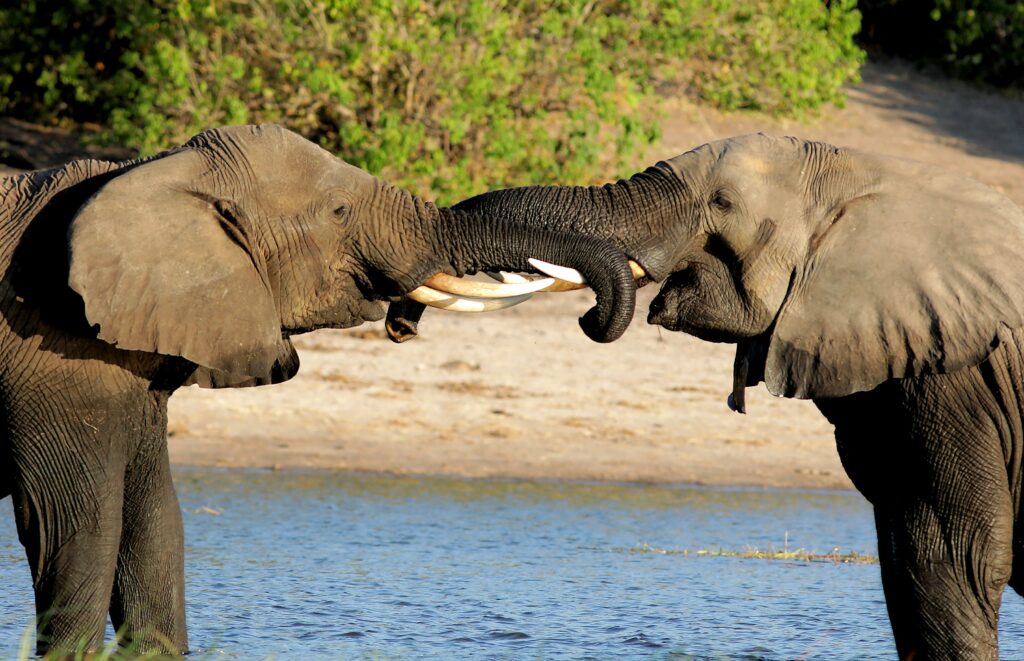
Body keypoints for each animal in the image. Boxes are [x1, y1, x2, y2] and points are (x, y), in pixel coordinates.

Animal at [0, 123, 638, 655]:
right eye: (340, 209)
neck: (156, 174)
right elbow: (79, 529)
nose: (591, 318)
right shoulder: (51, 354)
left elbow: (155, 527)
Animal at [426, 133, 1024, 660]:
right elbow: (904, 561)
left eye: (722, 202)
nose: (589, 314)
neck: (870, 179)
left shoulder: (960, 376)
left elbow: (953, 558)